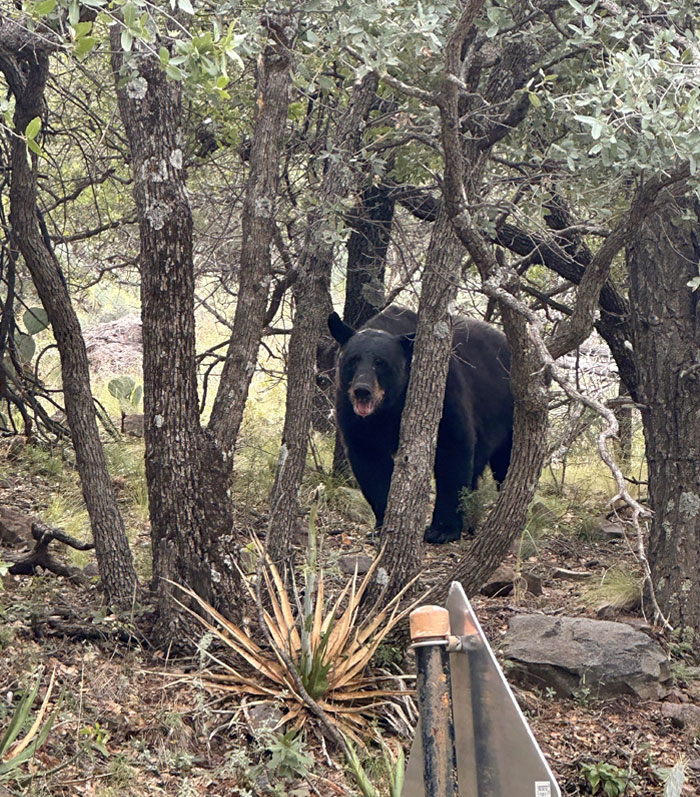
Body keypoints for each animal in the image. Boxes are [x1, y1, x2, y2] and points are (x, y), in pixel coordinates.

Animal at [328, 304, 513, 544]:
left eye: (381, 363)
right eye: (353, 360)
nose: (362, 390)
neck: (389, 407)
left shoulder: (444, 392)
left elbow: (452, 450)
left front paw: (442, 529)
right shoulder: (353, 414)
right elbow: (370, 460)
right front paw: (383, 523)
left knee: (506, 461)